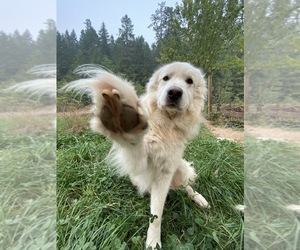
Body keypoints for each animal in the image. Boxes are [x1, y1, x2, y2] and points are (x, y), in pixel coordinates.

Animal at [67, 61, 210, 247]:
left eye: (189, 81)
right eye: (166, 78)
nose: (174, 92)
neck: (166, 125)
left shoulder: (165, 171)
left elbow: (156, 215)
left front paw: (153, 241)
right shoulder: (140, 162)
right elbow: (134, 143)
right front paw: (122, 119)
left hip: (180, 166)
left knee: (186, 186)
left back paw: (199, 198)